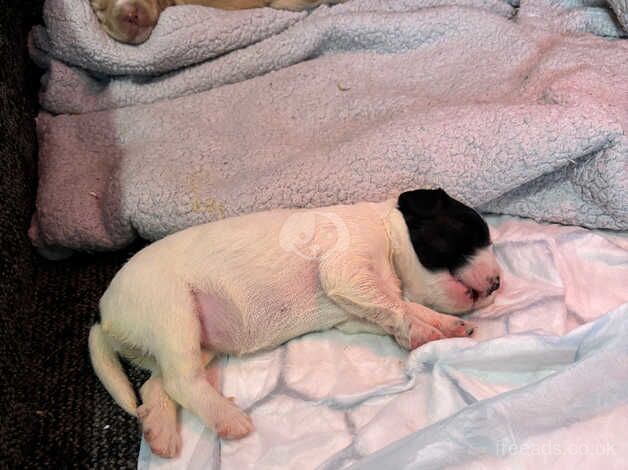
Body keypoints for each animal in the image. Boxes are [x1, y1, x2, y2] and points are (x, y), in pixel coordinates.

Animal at [88, 189, 500, 458]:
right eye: (470, 230)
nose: (498, 283)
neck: (387, 233)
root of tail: (103, 317)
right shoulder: (346, 270)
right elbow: (395, 306)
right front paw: (427, 330)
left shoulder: (355, 312)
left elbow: (398, 307)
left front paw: (443, 324)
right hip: (172, 311)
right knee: (180, 381)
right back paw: (229, 419)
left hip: (191, 341)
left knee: (157, 385)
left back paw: (160, 433)